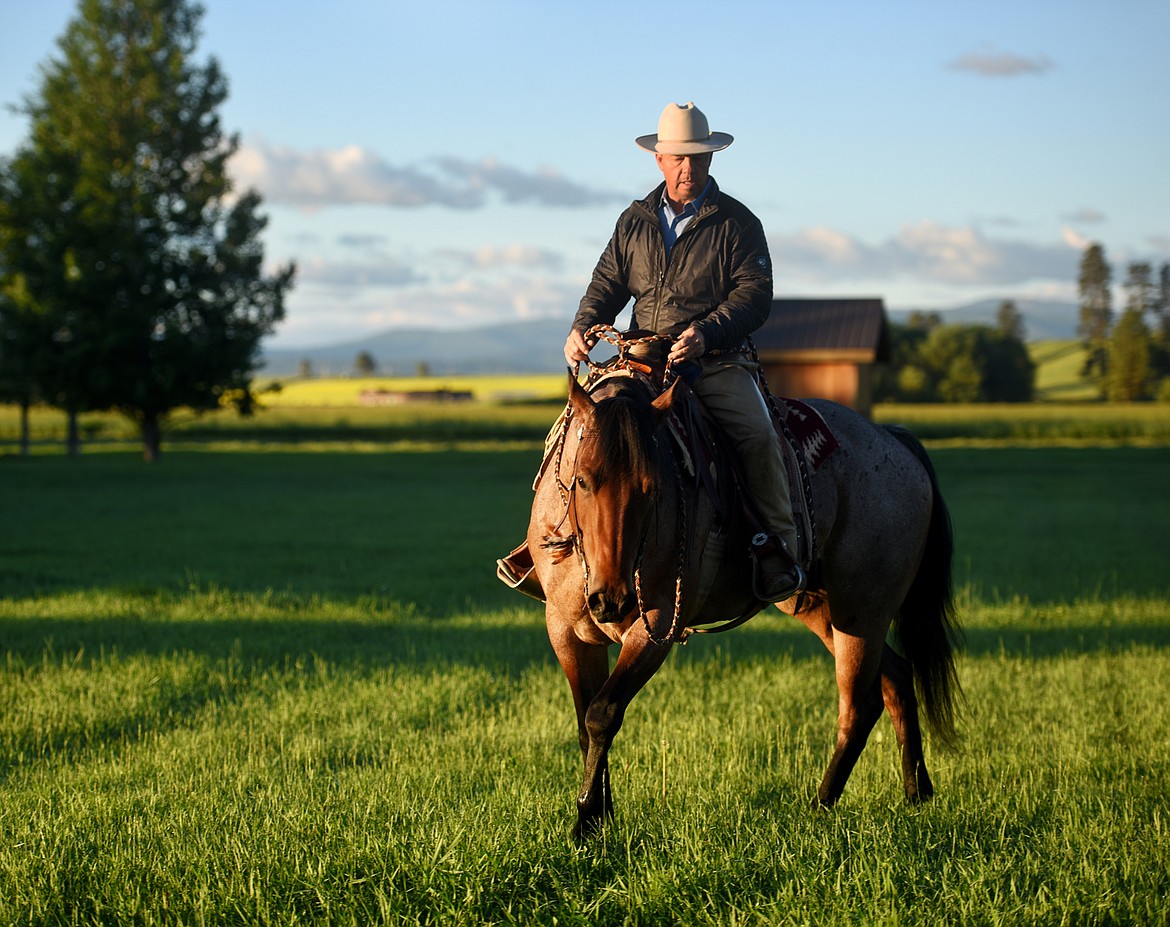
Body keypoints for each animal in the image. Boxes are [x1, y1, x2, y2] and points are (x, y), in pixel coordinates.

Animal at [514, 332, 959, 838]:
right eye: (583, 481)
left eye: (653, 488)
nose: (613, 600)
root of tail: (893, 440)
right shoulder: (567, 631)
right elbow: (584, 720)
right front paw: (598, 815)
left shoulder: (656, 628)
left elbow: (602, 713)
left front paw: (587, 818)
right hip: (826, 611)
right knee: (897, 678)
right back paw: (916, 791)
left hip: (862, 610)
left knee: (859, 704)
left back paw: (820, 805)